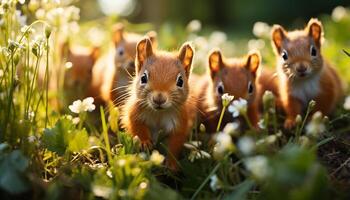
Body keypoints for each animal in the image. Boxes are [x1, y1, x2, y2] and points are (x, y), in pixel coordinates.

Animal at [120, 37, 197, 169]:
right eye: (143, 78)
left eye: (180, 81)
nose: (159, 99)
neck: (158, 113)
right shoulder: (134, 112)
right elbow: (137, 126)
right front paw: (145, 142)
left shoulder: (179, 122)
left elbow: (175, 143)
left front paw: (171, 163)